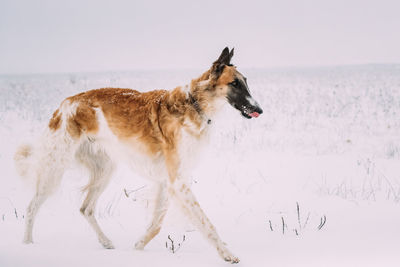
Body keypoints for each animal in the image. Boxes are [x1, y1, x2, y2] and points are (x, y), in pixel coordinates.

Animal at [14, 47, 262, 264]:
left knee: (86, 208)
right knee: (31, 207)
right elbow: (206, 224)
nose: (259, 109)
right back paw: (27, 245)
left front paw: (137, 248)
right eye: (234, 83)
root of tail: (63, 105)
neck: (194, 105)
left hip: (105, 169)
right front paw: (227, 254)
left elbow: (156, 225)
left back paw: (106, 242)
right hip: (55, 169)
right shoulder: (178, 182)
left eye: (246, 81)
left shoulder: (168, 182)